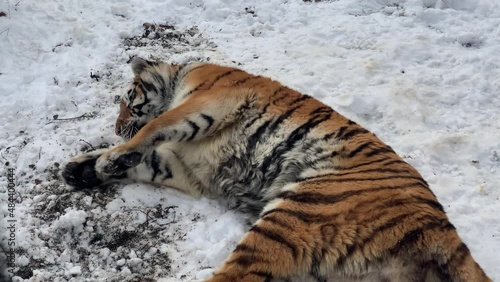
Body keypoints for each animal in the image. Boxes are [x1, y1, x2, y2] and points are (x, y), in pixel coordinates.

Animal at [62, 57, 492, 282]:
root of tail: (441, 226)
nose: (116, 126)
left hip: (296, 214)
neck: (183, 71)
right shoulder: (186, 167)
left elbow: (151, 130)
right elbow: (147, 160)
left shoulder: (206, 102)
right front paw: (80, 169)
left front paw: (109, 156)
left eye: (126, 98)